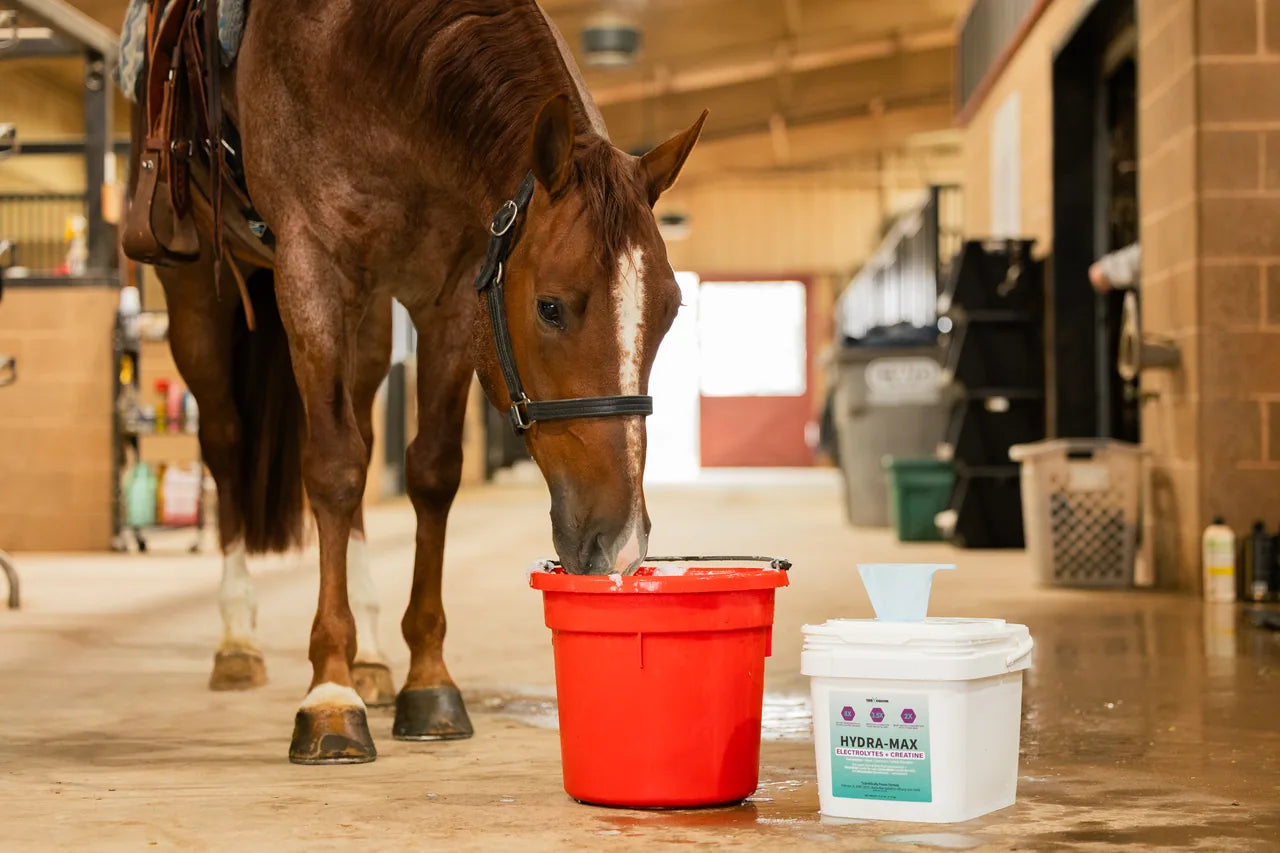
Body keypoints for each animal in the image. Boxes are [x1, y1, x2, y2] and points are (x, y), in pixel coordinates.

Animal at [127, 0, 706, 765]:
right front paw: (330, 695)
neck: (372, 56)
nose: (621, 544)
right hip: (197, 291)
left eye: (669, 309)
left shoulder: (454, 290)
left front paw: (425, 679)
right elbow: (332, 469)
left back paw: (373, 657)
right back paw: (239, 640)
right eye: (551, 306)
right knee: (227, 444)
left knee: (363, 437)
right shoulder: (310, 269)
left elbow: (431, 472)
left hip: (371, 315)